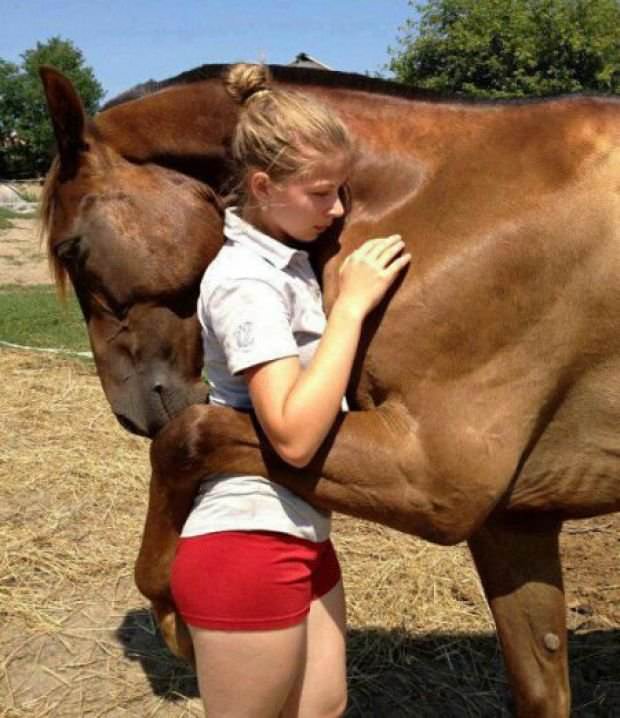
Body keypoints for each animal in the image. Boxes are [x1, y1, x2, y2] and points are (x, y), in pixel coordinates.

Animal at [41, 64, 616, 716]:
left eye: (70, 248)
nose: (130, 411)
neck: (450, 199)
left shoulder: (437, 481)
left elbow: (186, 440)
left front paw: (170, 608)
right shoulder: (514, 519)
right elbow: (540, 680)